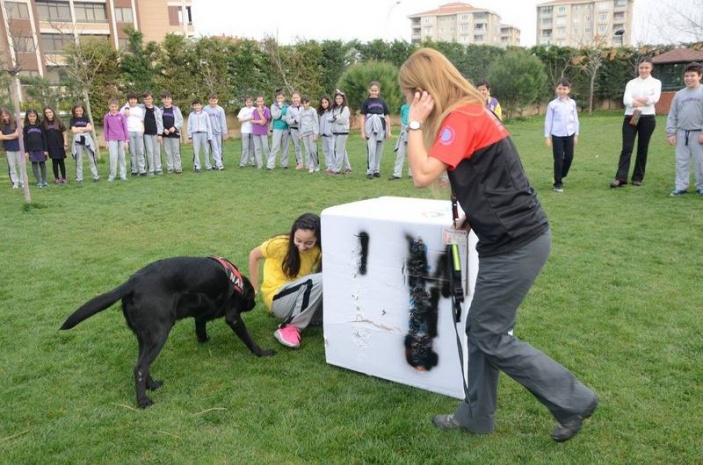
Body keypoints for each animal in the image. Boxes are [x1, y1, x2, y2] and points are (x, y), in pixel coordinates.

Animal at [60, 256, 276, 408]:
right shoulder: (233, 315)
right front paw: (262, 352)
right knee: (139, 367)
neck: (237, 281)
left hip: (146, 337)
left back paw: (152, 386)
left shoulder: (200, 311)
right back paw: (143, 401)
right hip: (159, 334)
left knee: (142, 364)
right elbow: (249, 339)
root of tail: (132, 282)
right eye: (250, 296)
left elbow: (200, 325)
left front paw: (203, 338)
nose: (253, 303)